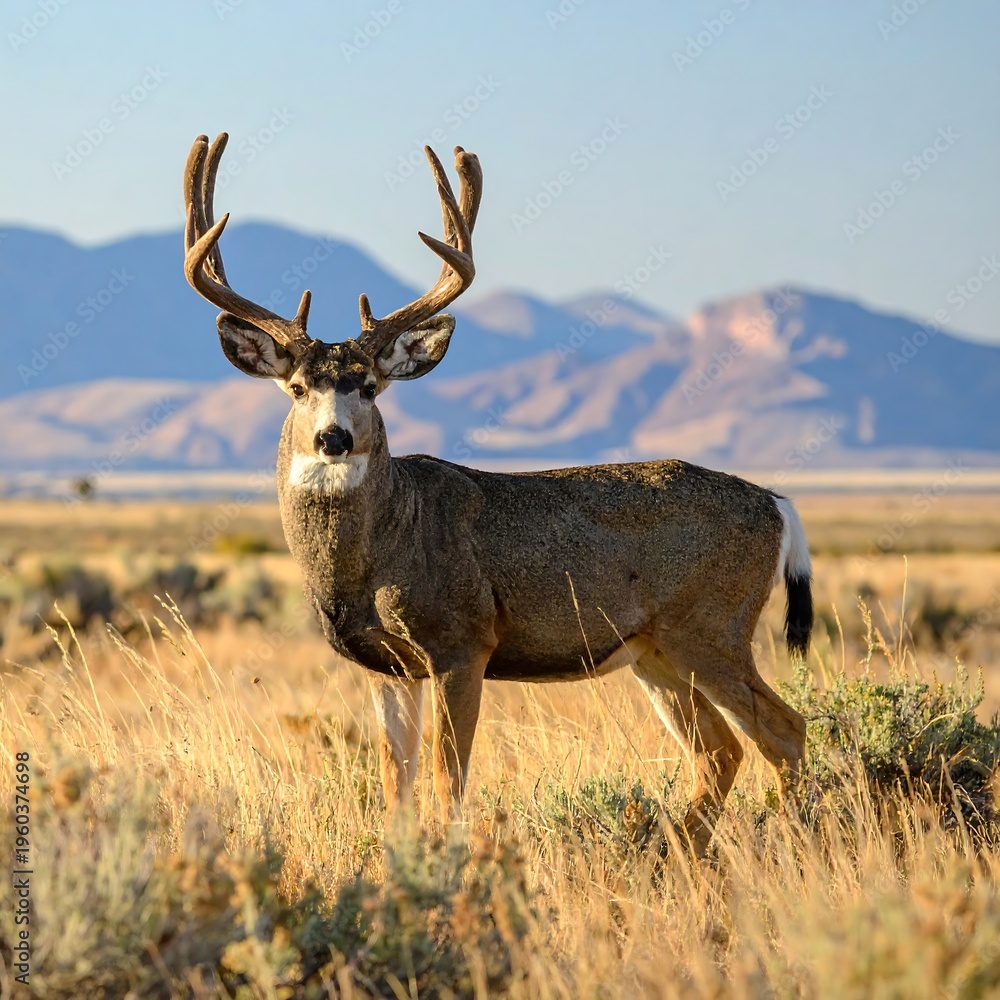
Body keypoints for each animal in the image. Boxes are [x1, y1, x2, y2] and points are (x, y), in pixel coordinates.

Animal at [182, 132, 812, 856]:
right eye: (295, 388)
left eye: (369, 385)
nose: (333, 438)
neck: (380, 552)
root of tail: (776, 504)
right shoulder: (387, 666)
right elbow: (395, 785)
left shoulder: (463, 640)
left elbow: (447, 779)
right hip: (656, 649)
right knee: (719, 752)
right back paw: (674, 852)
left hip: (712, 626)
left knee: (784, 731)